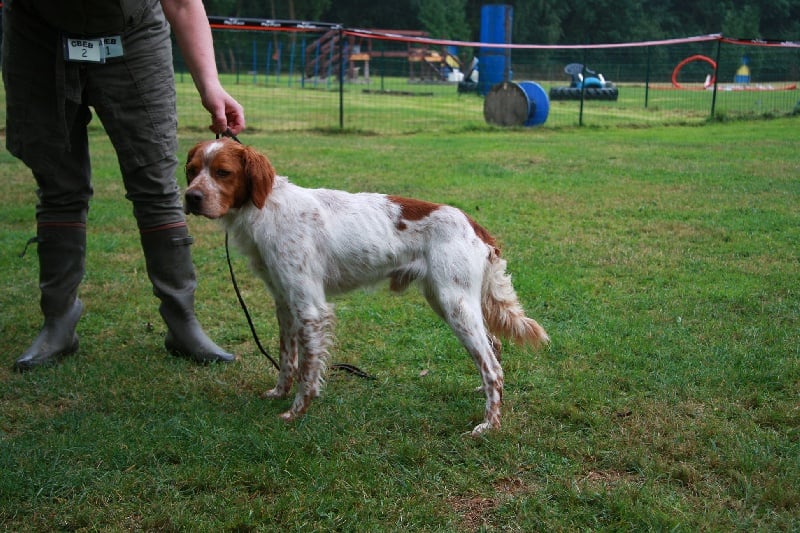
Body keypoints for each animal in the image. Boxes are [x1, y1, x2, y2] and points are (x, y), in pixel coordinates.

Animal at [184, 137, 548, 432]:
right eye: (191, 170)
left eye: (223, 172)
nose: (191, 198)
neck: (266, 211)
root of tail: (474, 225)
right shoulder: (284, 303)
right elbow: (288, 360)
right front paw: (278, 393)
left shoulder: (310, 308)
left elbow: (307, 370)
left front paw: (296, 412)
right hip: (447, 300)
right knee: (494, 347)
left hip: (454, 303)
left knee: (493, 367)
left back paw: (489, 425)